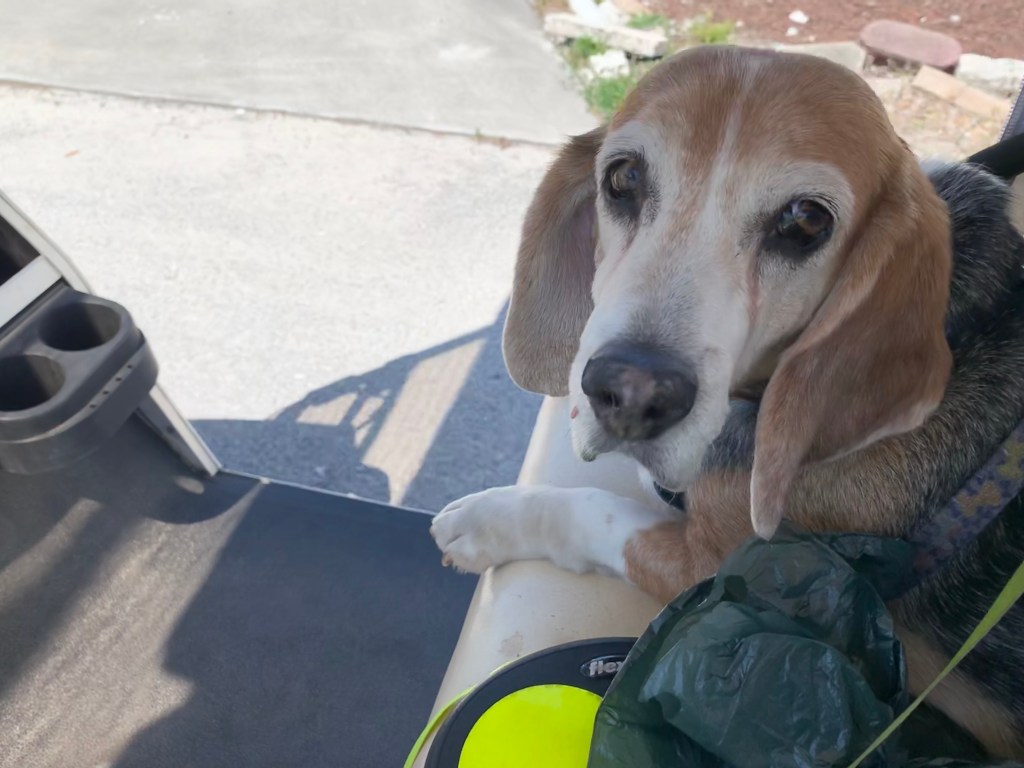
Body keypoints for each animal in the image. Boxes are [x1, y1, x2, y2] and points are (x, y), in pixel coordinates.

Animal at [431, 46, 1024, 757]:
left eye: (806, 220)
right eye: (623, 178)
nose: (630, 393)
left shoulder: (719, 570)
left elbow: (593, 511)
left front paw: (484, 522)